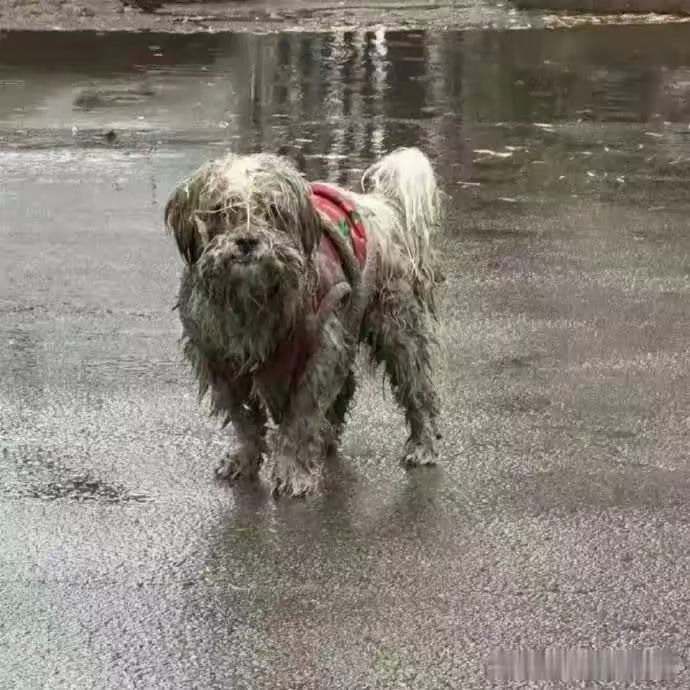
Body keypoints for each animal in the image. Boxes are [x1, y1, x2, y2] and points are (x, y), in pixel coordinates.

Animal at [163, 148, 440, 498]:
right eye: (223, 210)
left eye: (272, 210)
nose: (247, 241)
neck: (252, 302)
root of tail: (381, 208)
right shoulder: (220, 362)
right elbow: (243, 419)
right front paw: (245, 459)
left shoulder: (318, 348)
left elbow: (301, 414)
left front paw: (294, 472)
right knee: (346, 387)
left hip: (395, 326)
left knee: (416, 388)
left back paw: (423, 444)